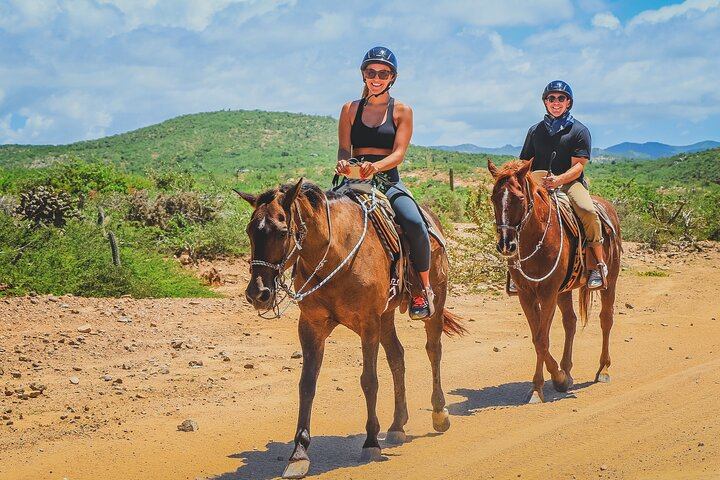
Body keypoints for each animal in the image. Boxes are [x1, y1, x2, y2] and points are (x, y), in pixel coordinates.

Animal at [233, 178, 464, 478]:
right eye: (250, 231)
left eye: (283, 232)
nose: (257, 294)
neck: (335, 254)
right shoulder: (311, 325)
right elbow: (307, 384)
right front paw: (299, 454)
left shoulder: (368, 323)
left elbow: (369, 381)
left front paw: (371, 442)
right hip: (386, 316)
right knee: (397, 357)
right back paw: (397, 426)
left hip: (434, 301)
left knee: (433, 350)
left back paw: (439, 413)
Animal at [486, 161, 620, 404]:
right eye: (493, 197)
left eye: (520, 197)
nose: (506, 245)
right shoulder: (526, 294)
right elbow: (537, 337)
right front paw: (558, 378)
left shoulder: (547, 292)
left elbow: (542, 339)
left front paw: (541, 387)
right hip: (563, 291)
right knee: (571, 322)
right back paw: (567, 369)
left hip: (610, 281)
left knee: (606, 319)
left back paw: (604, 369)